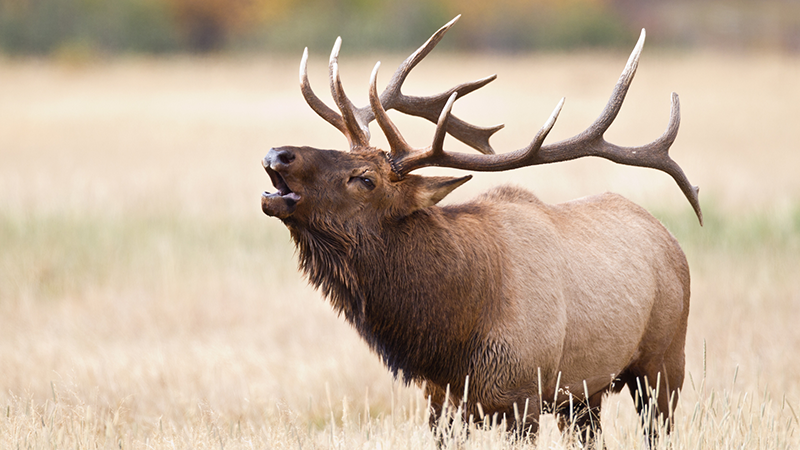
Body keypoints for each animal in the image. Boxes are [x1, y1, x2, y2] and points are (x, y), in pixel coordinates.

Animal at [260, 15, 702, 446]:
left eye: (366, 179)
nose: (278, 154)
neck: (452, 336)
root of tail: (670, 239)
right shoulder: (440, 401)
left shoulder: (524, 394)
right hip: (582, 394)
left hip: (664, 362)